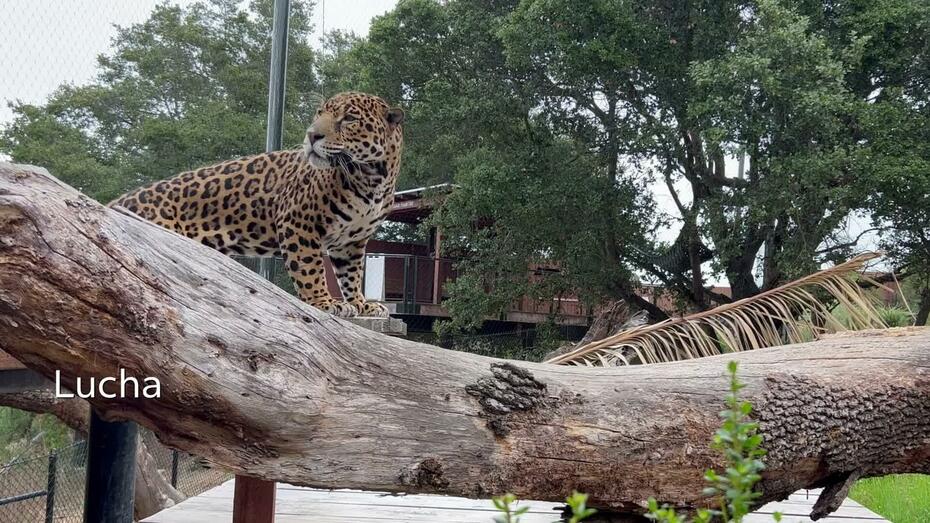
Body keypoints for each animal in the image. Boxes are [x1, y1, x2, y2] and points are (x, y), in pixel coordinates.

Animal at [109, 91, 404, 318]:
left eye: (350, 119)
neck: (371, 178)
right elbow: (310, 269)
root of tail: (116, 203)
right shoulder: (298, 224)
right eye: (319, 114)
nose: (312, 136)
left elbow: (351, 275)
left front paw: (360, 304)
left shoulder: (351, 243)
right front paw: (323, 302)